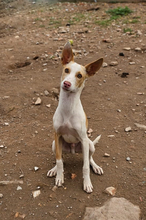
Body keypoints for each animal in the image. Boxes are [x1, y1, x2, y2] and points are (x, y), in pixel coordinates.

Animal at [47, 41, 103, 192]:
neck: (68, 108)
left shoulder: (84, 140)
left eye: (79, 76)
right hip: (55, 144)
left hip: (89, 144)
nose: (66, 84)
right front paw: (59, 177)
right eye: (66, 70)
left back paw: (96, 167)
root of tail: (72, 150)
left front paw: (87, 183)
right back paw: (54, 169)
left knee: (89, 159)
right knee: (60, 157)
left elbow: (85, 167)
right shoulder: (57, 135)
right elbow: (59, 161)